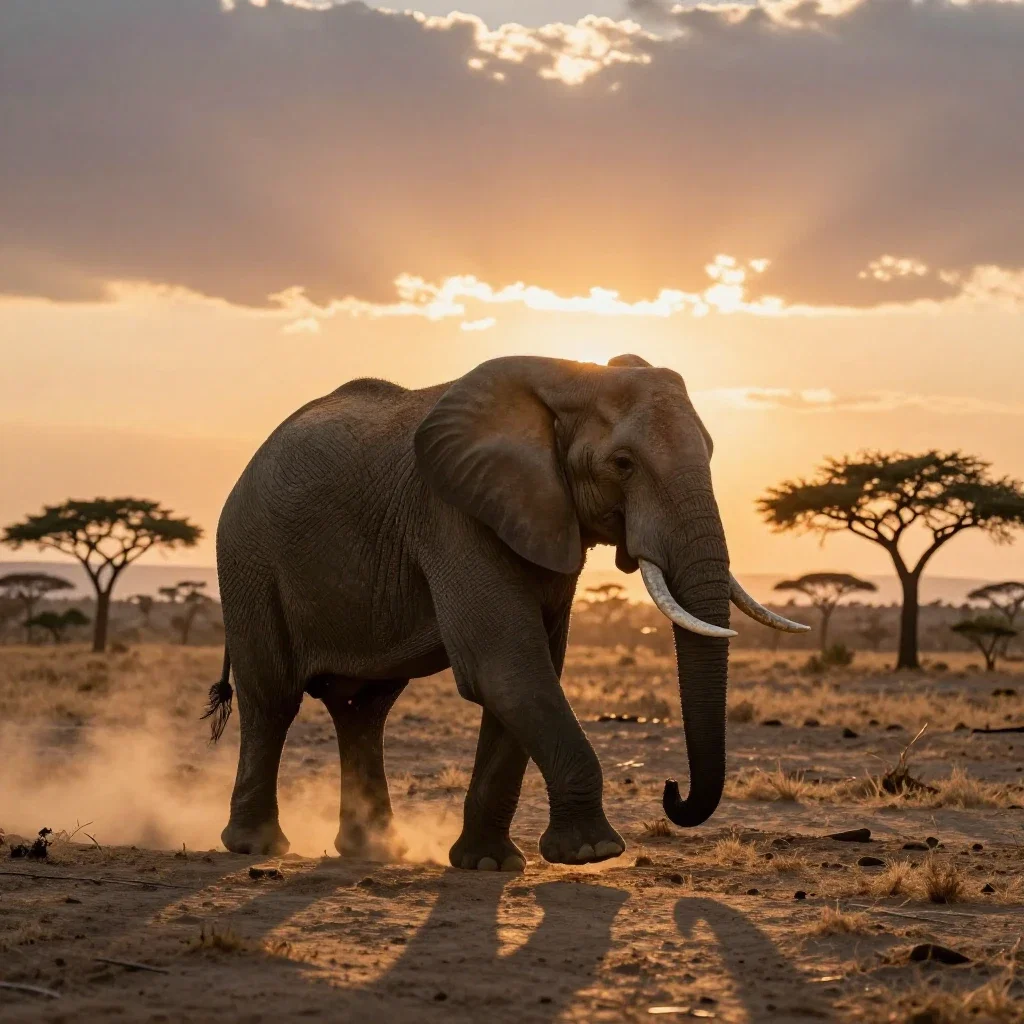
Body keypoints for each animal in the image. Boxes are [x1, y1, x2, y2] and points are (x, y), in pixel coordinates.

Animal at [206, 354, 806, 868]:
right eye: (624, 464)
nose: (671, 790)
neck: (570, 380)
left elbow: (528, 674)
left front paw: (489, 863)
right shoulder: (452, 516)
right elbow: (507, 668)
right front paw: (592, 853)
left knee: (362, 709)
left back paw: (374, 850)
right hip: (248, 560)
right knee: (272, 698)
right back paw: (257, 846)